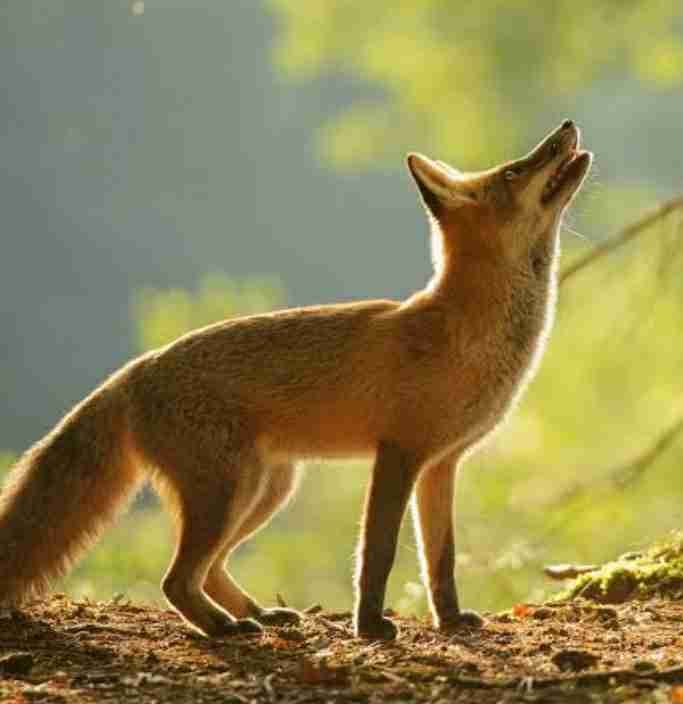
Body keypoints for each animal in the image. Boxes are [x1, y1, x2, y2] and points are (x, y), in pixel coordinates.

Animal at [0, 122, 591, 640]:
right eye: (516, 170)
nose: (567, 127)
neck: (462, 334)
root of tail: (137, 367)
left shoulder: (441, 465)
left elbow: (439, 560)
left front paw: (449, 621)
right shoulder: (398, 454)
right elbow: (378, 554)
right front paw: (370, 628)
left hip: (267, 488)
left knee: (209, 569)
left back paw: (259, 614)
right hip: (230, 491)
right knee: (176, 580)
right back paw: (223, 628)